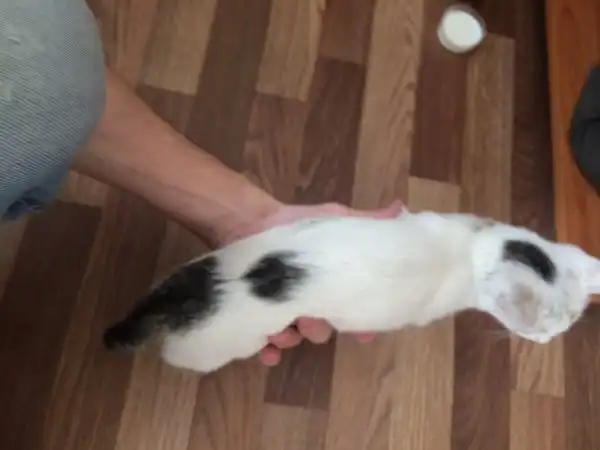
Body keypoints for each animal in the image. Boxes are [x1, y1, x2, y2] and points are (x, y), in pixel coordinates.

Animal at [102, 210, 600, 373]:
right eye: (538, 332)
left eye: (568, 326)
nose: (548, 342)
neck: (473, 249)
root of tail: (203, 288)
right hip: (211, 347)